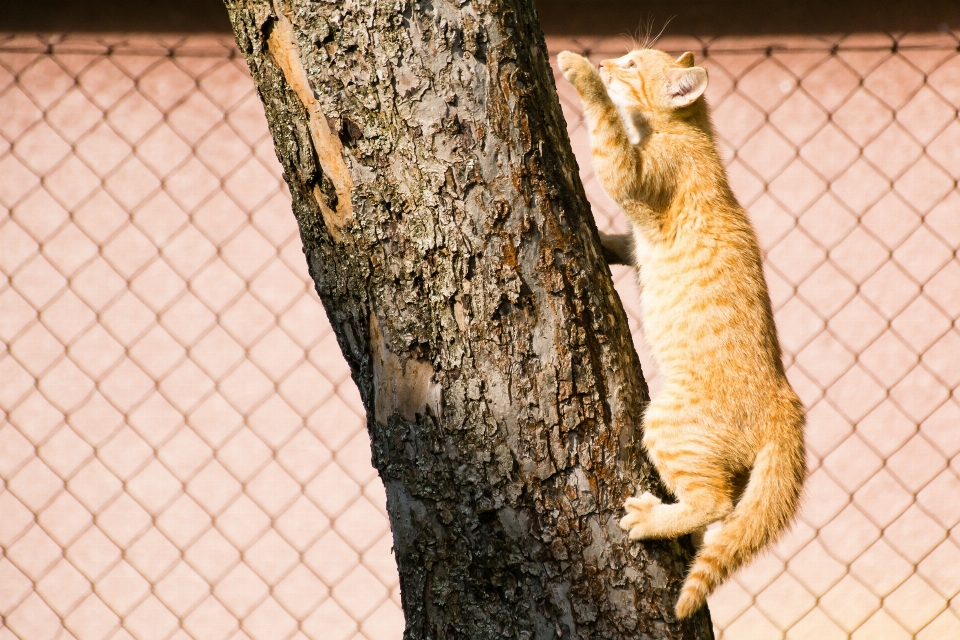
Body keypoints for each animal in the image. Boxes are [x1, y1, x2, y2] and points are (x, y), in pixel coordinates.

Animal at [560, 47, 808, 616]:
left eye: (631, 64)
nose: (606, 61)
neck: (693, 133)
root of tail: (785, 402)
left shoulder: (630, 175)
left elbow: (605, 130)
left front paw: (578, 69)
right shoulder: (634, 238)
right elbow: (620, 242)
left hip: (667, 425)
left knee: (713, 503)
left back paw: (651, 519)